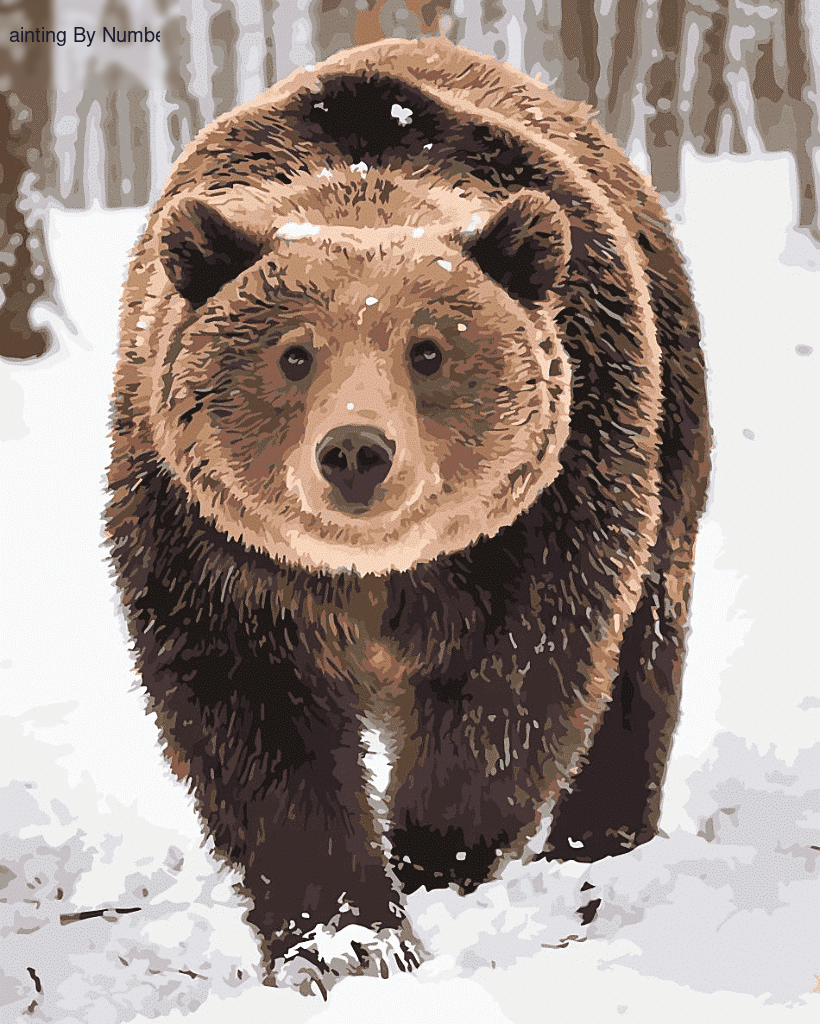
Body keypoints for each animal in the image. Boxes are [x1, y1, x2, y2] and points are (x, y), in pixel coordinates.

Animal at [105, 36, 710, 994]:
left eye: (428, 350)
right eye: (294, 354)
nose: (357, 450)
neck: (375, 575)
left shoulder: (552, 508)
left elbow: (518, 687)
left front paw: (429, 855)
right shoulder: (206, 545)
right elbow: (258, 729)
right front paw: (347, 938)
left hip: (670, 427)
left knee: (644, 651)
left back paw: (599, 843)